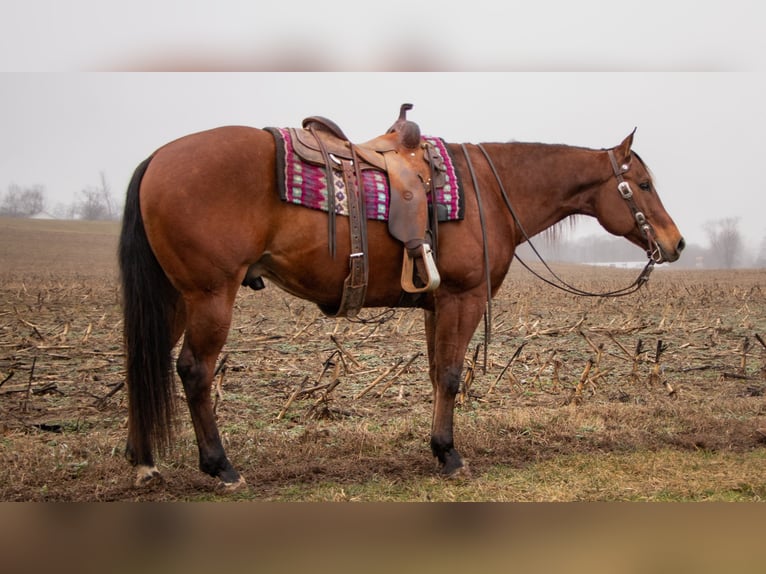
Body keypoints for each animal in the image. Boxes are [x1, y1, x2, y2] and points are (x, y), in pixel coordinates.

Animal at [121, 121, 688, 490]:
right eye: (643, 184)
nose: (677, 243)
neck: (489, 190)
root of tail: (157, 159)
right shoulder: (463, 297)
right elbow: (454, 375)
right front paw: (450, 455)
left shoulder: (438, 304)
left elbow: (438, 374)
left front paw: (438, 448)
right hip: (210, 296)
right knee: (194, 371)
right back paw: (220, 466)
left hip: (175, 298)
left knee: (144, 362)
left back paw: (144, 460)